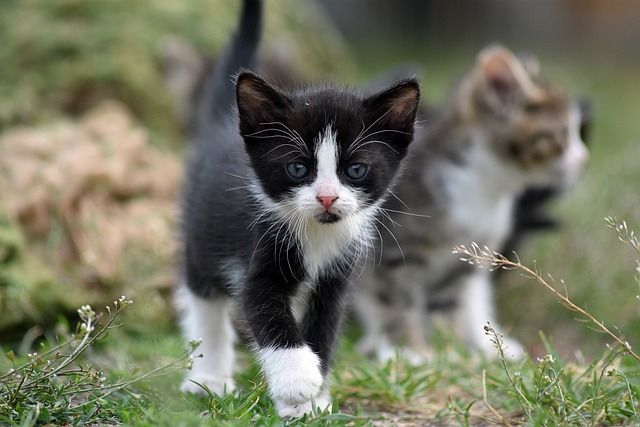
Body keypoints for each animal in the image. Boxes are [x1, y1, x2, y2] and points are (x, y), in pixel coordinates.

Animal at [178, 0, 422, 420]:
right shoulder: (259, 264)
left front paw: (310, 401)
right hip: (200, 239)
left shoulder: (336, 281)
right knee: (204, 301)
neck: (318, 235)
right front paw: (297, 382)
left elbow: (321, 332)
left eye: (355, 169)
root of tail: (221, 128)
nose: (326, 197)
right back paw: (209, 378)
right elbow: (272, 318)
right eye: (297, 168)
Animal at [356, 46, 592, 362]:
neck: (485, 190)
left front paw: (449, 349)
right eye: (562, 134)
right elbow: (397, 301)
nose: (584, 159)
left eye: (577, 131)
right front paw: (408, 350)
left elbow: (447, 305)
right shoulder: (391, 250)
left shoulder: (461, 262)